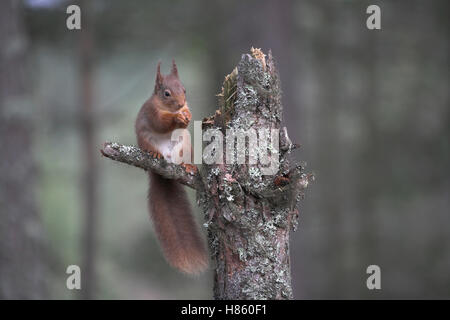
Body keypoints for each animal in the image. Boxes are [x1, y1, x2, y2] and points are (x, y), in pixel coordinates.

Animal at [134, 61, 208, 274]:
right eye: (166, 93)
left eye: (185, 90)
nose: (181, 104)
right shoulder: (151, 112)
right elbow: (161, 123)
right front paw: (176, 119)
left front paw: (187, 115)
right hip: (145, 141)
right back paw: (155, 155)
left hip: (186, 145)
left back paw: (187, 166)